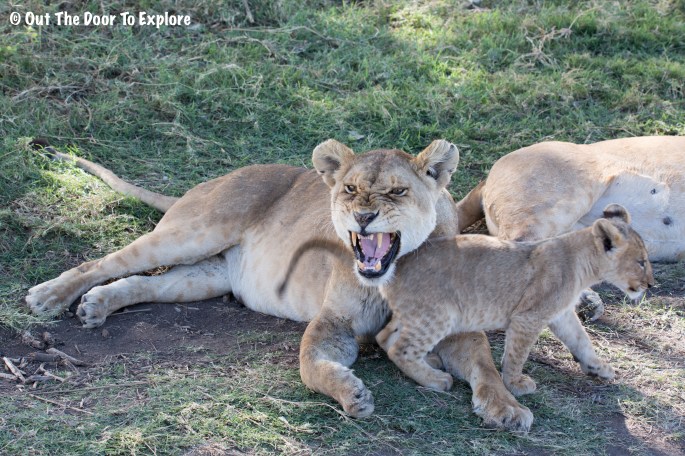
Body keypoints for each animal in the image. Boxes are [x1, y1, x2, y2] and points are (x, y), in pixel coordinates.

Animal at [25, 139, 533, 431]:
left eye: (396, 191)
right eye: (349, 189)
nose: (363, 217)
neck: (396, 272)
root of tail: (210, 181)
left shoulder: (458, 328)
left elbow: (484, 363)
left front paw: (506, 408)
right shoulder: (334, 322)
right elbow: (312, 367)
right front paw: (351, 393)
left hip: (205, 275)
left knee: (144, 283)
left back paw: (96, 305)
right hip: (195, 231)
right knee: (106, 260)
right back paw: (48, 295)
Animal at [280, 204, 653, 400]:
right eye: (640, 261)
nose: (650, 283)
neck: (580, 262)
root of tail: (400, 261)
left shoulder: (560, 314)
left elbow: (582, 341)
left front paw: (600, 368)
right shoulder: (528, 317)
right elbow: (516, 354)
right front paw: (517, 384)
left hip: (418, 314)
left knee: (387, 337)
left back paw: (430, 364)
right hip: (440, 314)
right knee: (400, 347)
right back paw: (435, 380)